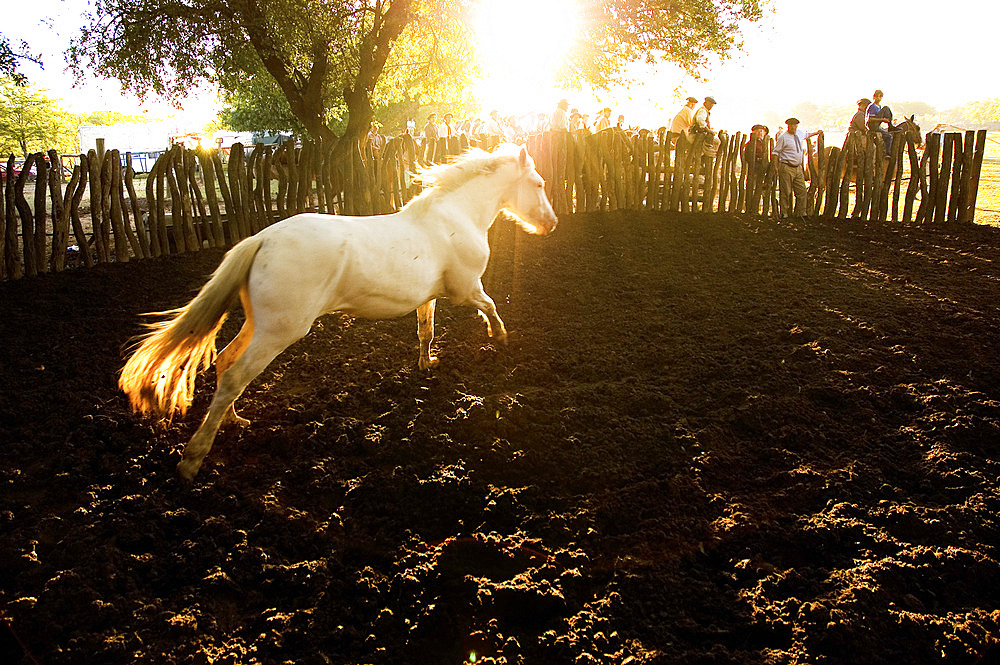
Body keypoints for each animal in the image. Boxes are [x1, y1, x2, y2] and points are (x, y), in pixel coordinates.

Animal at [119, 144, 556, 478]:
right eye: (538, 184)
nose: (550, 224)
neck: (455, 218)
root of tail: (261, 239)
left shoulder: (429, 296)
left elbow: (425, 331)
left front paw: (426, 365)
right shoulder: (466, 289)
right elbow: (491, 306)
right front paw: (499, 337)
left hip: (259, 325)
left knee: (225, 362)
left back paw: (235, 421)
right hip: (280, 331)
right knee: (235, 376)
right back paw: (192, 461)